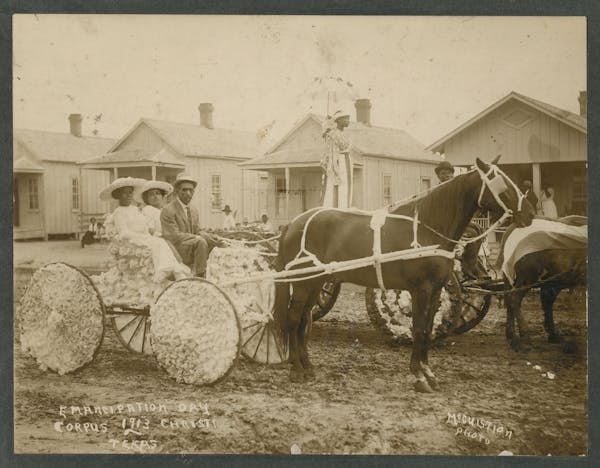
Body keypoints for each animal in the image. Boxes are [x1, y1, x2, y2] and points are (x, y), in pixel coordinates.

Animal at [274, 156, 536, 392]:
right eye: (501, 182)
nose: (530, 214)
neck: (428, 228)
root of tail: (293, 224)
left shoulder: (436, 289)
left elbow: (427, 328)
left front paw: (428, 373)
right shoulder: (420, 289)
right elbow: (418, 328)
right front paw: (419, 376)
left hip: (315, 283)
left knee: (303, 320)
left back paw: (307, 367)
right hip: (302, 283)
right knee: (294, 319)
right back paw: (296, 369)